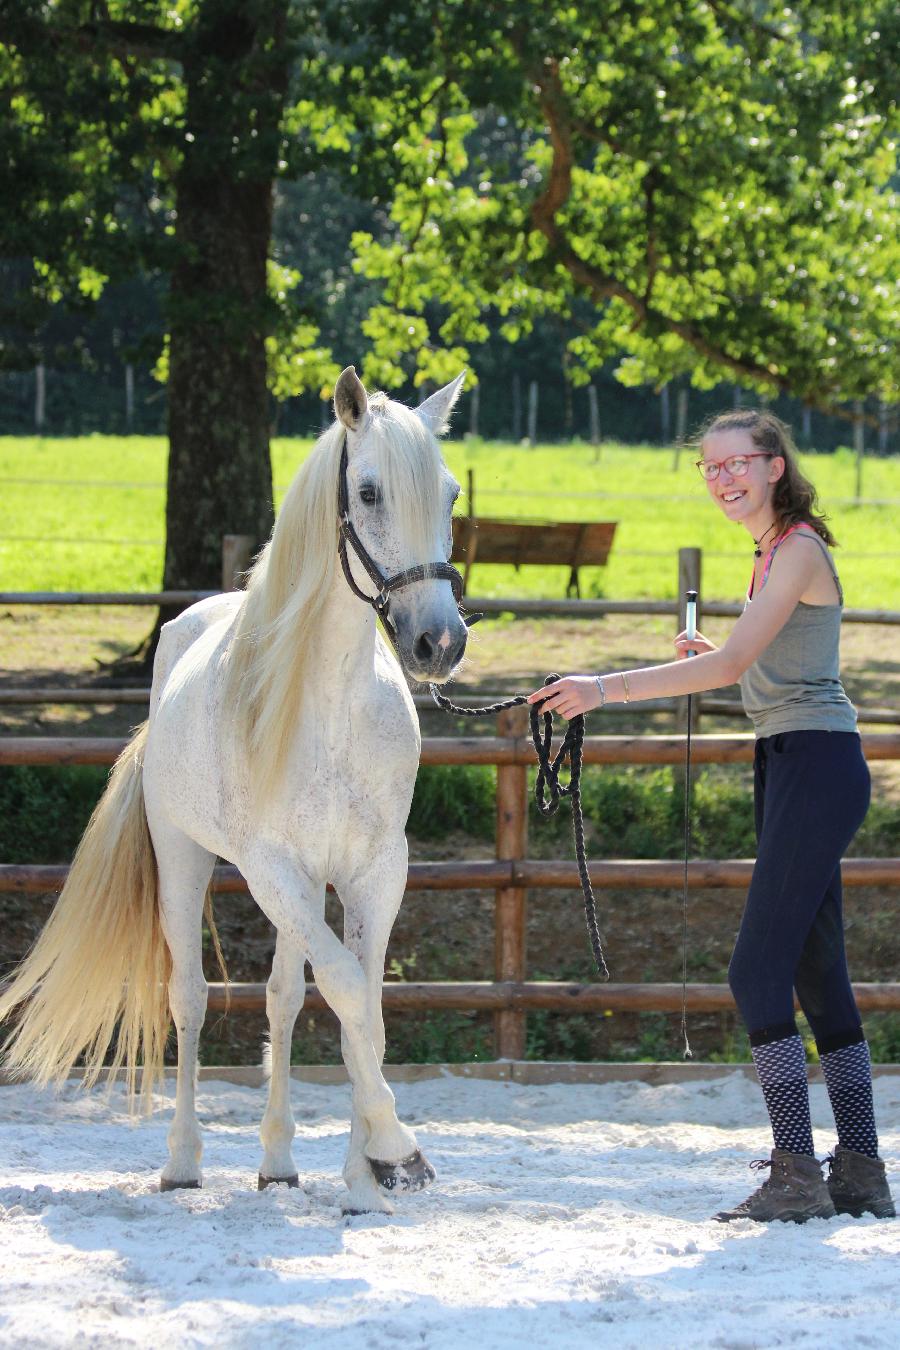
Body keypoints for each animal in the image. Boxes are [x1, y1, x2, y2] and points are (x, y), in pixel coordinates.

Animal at [1, 367, 472, 1215]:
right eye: (369, 490)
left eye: (451, 494)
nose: (438, 643)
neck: (332, 703)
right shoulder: (270, 869)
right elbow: (346, 987)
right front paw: (395, 1148)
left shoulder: (375, 870)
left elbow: (365, 1009)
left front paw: (364, 1177)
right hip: (188, 862)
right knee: (189, 997)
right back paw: (182, 1161)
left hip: (303, 885)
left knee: (283, 995)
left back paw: (278, 1161)